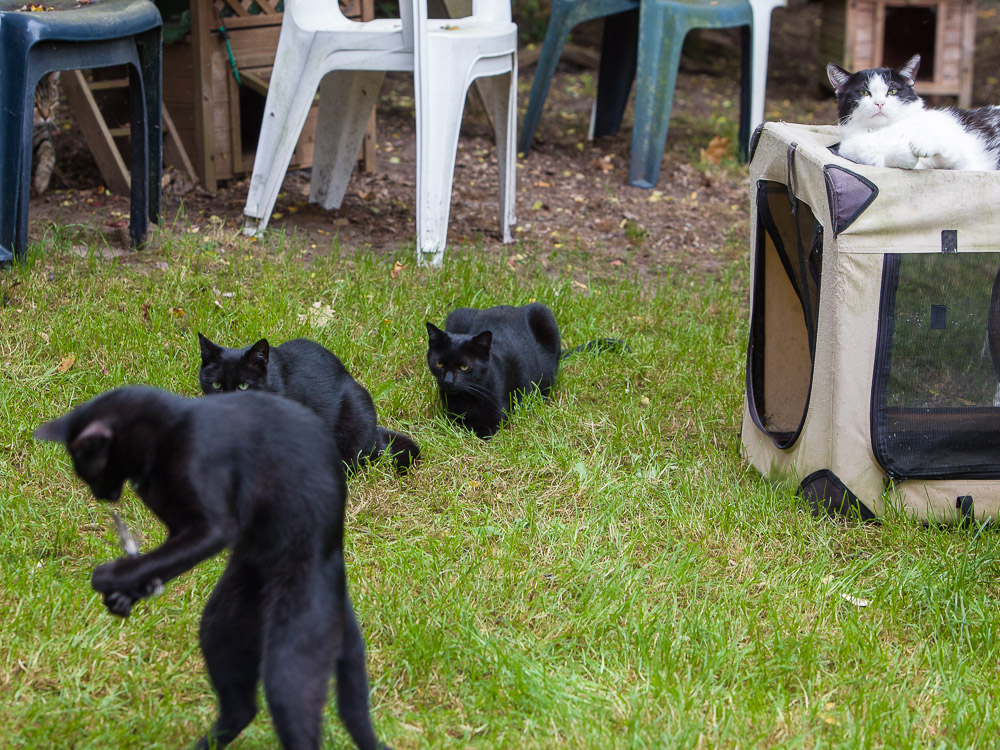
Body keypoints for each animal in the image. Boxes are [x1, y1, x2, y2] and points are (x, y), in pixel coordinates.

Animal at [32, 388, 390, 750]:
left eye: (87, 467)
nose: (101, 495)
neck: (167, 437)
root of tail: (338, 576)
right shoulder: (179, 530)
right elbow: (163, 560)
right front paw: (125, 595)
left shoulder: (211, 527)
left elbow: (162, 557)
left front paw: (108, 577)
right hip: (221, 625)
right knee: (241, 709)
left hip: (290, 658)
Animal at [428, 302, 624, 438]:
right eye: (439, 364)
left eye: (464, 366)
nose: (447, 381)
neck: (467, 398)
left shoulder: (496, 419)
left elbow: (475, 428)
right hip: (457, 314)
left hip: (544, 316)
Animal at [824, 55, 1000, 171]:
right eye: (863, 92)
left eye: (892, 91)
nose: (879, 103)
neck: (885, 130)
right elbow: (887, 158)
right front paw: (904, 153)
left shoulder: (963, 162)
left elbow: (948, 147)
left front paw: (922, 144)